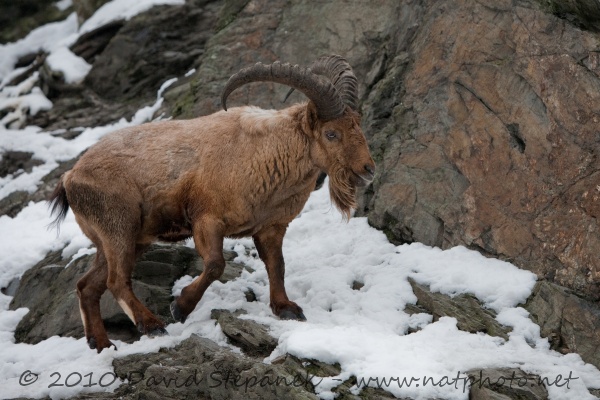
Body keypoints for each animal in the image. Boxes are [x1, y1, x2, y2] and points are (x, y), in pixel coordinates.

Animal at [49, 54, 376, 352]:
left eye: (358, 126)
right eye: (331, 133)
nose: (368, 170)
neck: (263, 154)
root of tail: (71, 177)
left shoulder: (271, 227)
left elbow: (277, 265)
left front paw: (286, 307)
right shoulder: (207, 220)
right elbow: (216, 264)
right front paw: (180, 307)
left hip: (126, 238)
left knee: (88, 286)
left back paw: (102, 344)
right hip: (119, 228)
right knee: (116, 280)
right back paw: (152, 325)